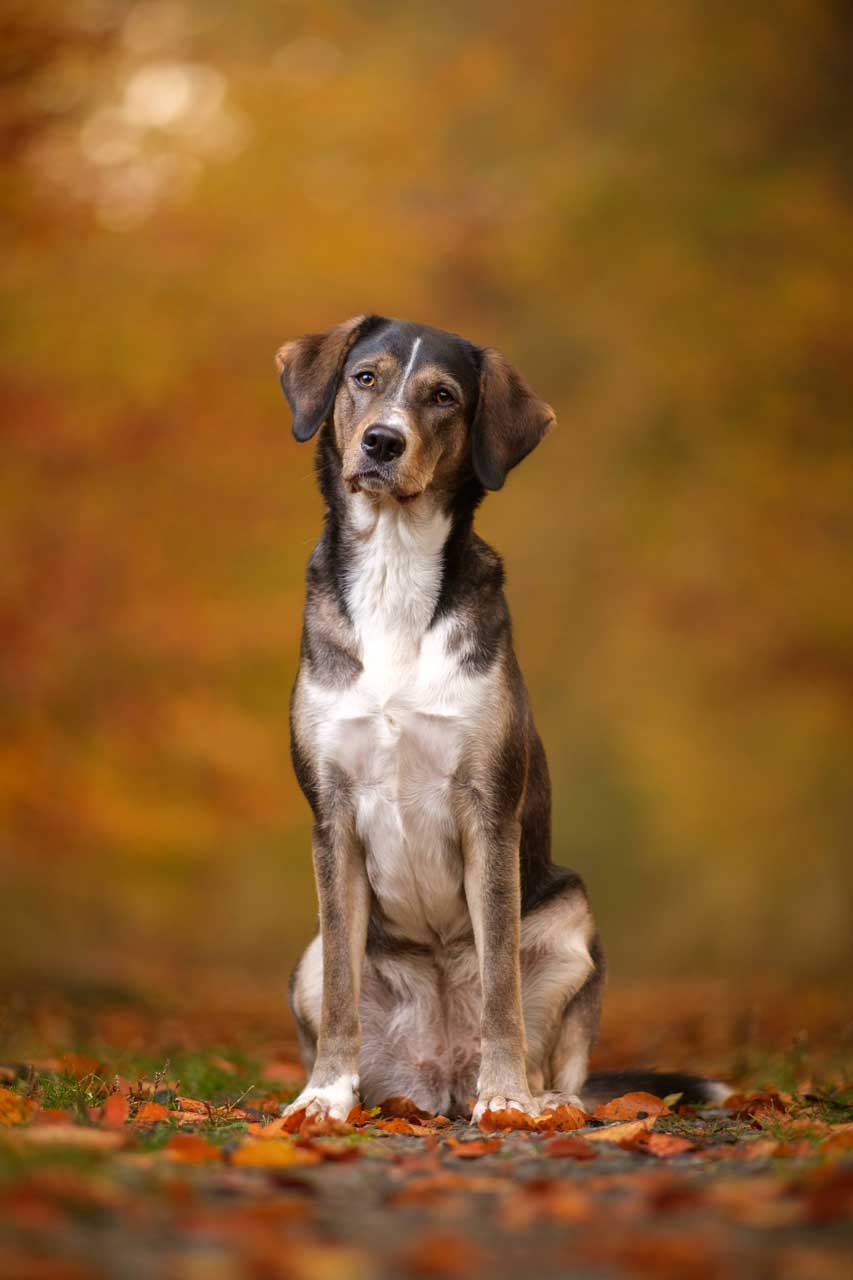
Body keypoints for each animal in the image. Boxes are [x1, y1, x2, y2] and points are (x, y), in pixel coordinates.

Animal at [277, 317, 717, 1121]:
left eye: (443, 396)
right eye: (364, 377)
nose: (381, 442)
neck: (394, 570)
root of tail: (437, 1081)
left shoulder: (488, 806)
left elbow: (500, 985)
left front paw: (506, 1098)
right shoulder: (331, 813)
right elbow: (342, 993)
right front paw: (323, 1097)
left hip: (573, 918)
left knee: (549, 1052)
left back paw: (546, 1102)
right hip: (306, 958)